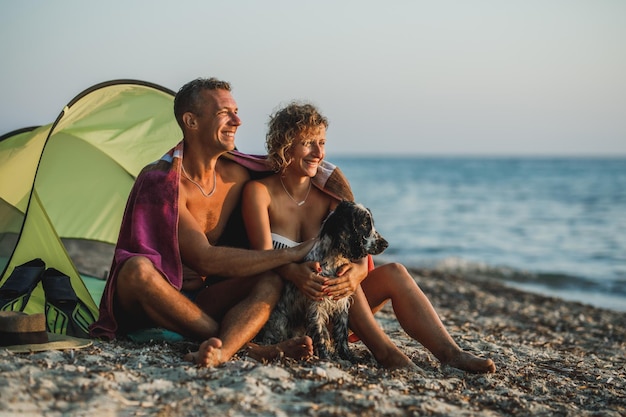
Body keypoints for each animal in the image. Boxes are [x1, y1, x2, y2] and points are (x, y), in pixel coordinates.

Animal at [256, 200, 388, 360]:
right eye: (365, 224)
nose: (386, 244)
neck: (333, 260)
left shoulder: (341, 302)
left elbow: (341, 333)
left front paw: (347, 356)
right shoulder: (316, 305)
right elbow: (320, 333)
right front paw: (326, 357)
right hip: (279, 322)